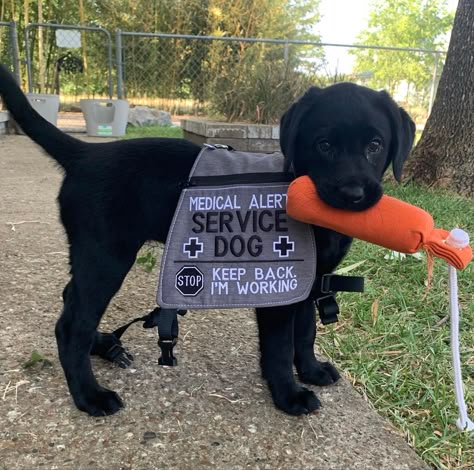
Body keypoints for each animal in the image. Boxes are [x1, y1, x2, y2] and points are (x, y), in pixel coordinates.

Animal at [0, 65, 414, 414]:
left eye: (375, 145)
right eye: (324, 145)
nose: (353, 195)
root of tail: (85, 153)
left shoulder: (308, 282)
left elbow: (305, 333)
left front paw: (310, 371)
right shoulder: (278, 287)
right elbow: (280, 346)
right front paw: (289, 394)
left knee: (71, 303)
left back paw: (102, 345)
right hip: (106, 258)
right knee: (72, 324)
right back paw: (89, 395)